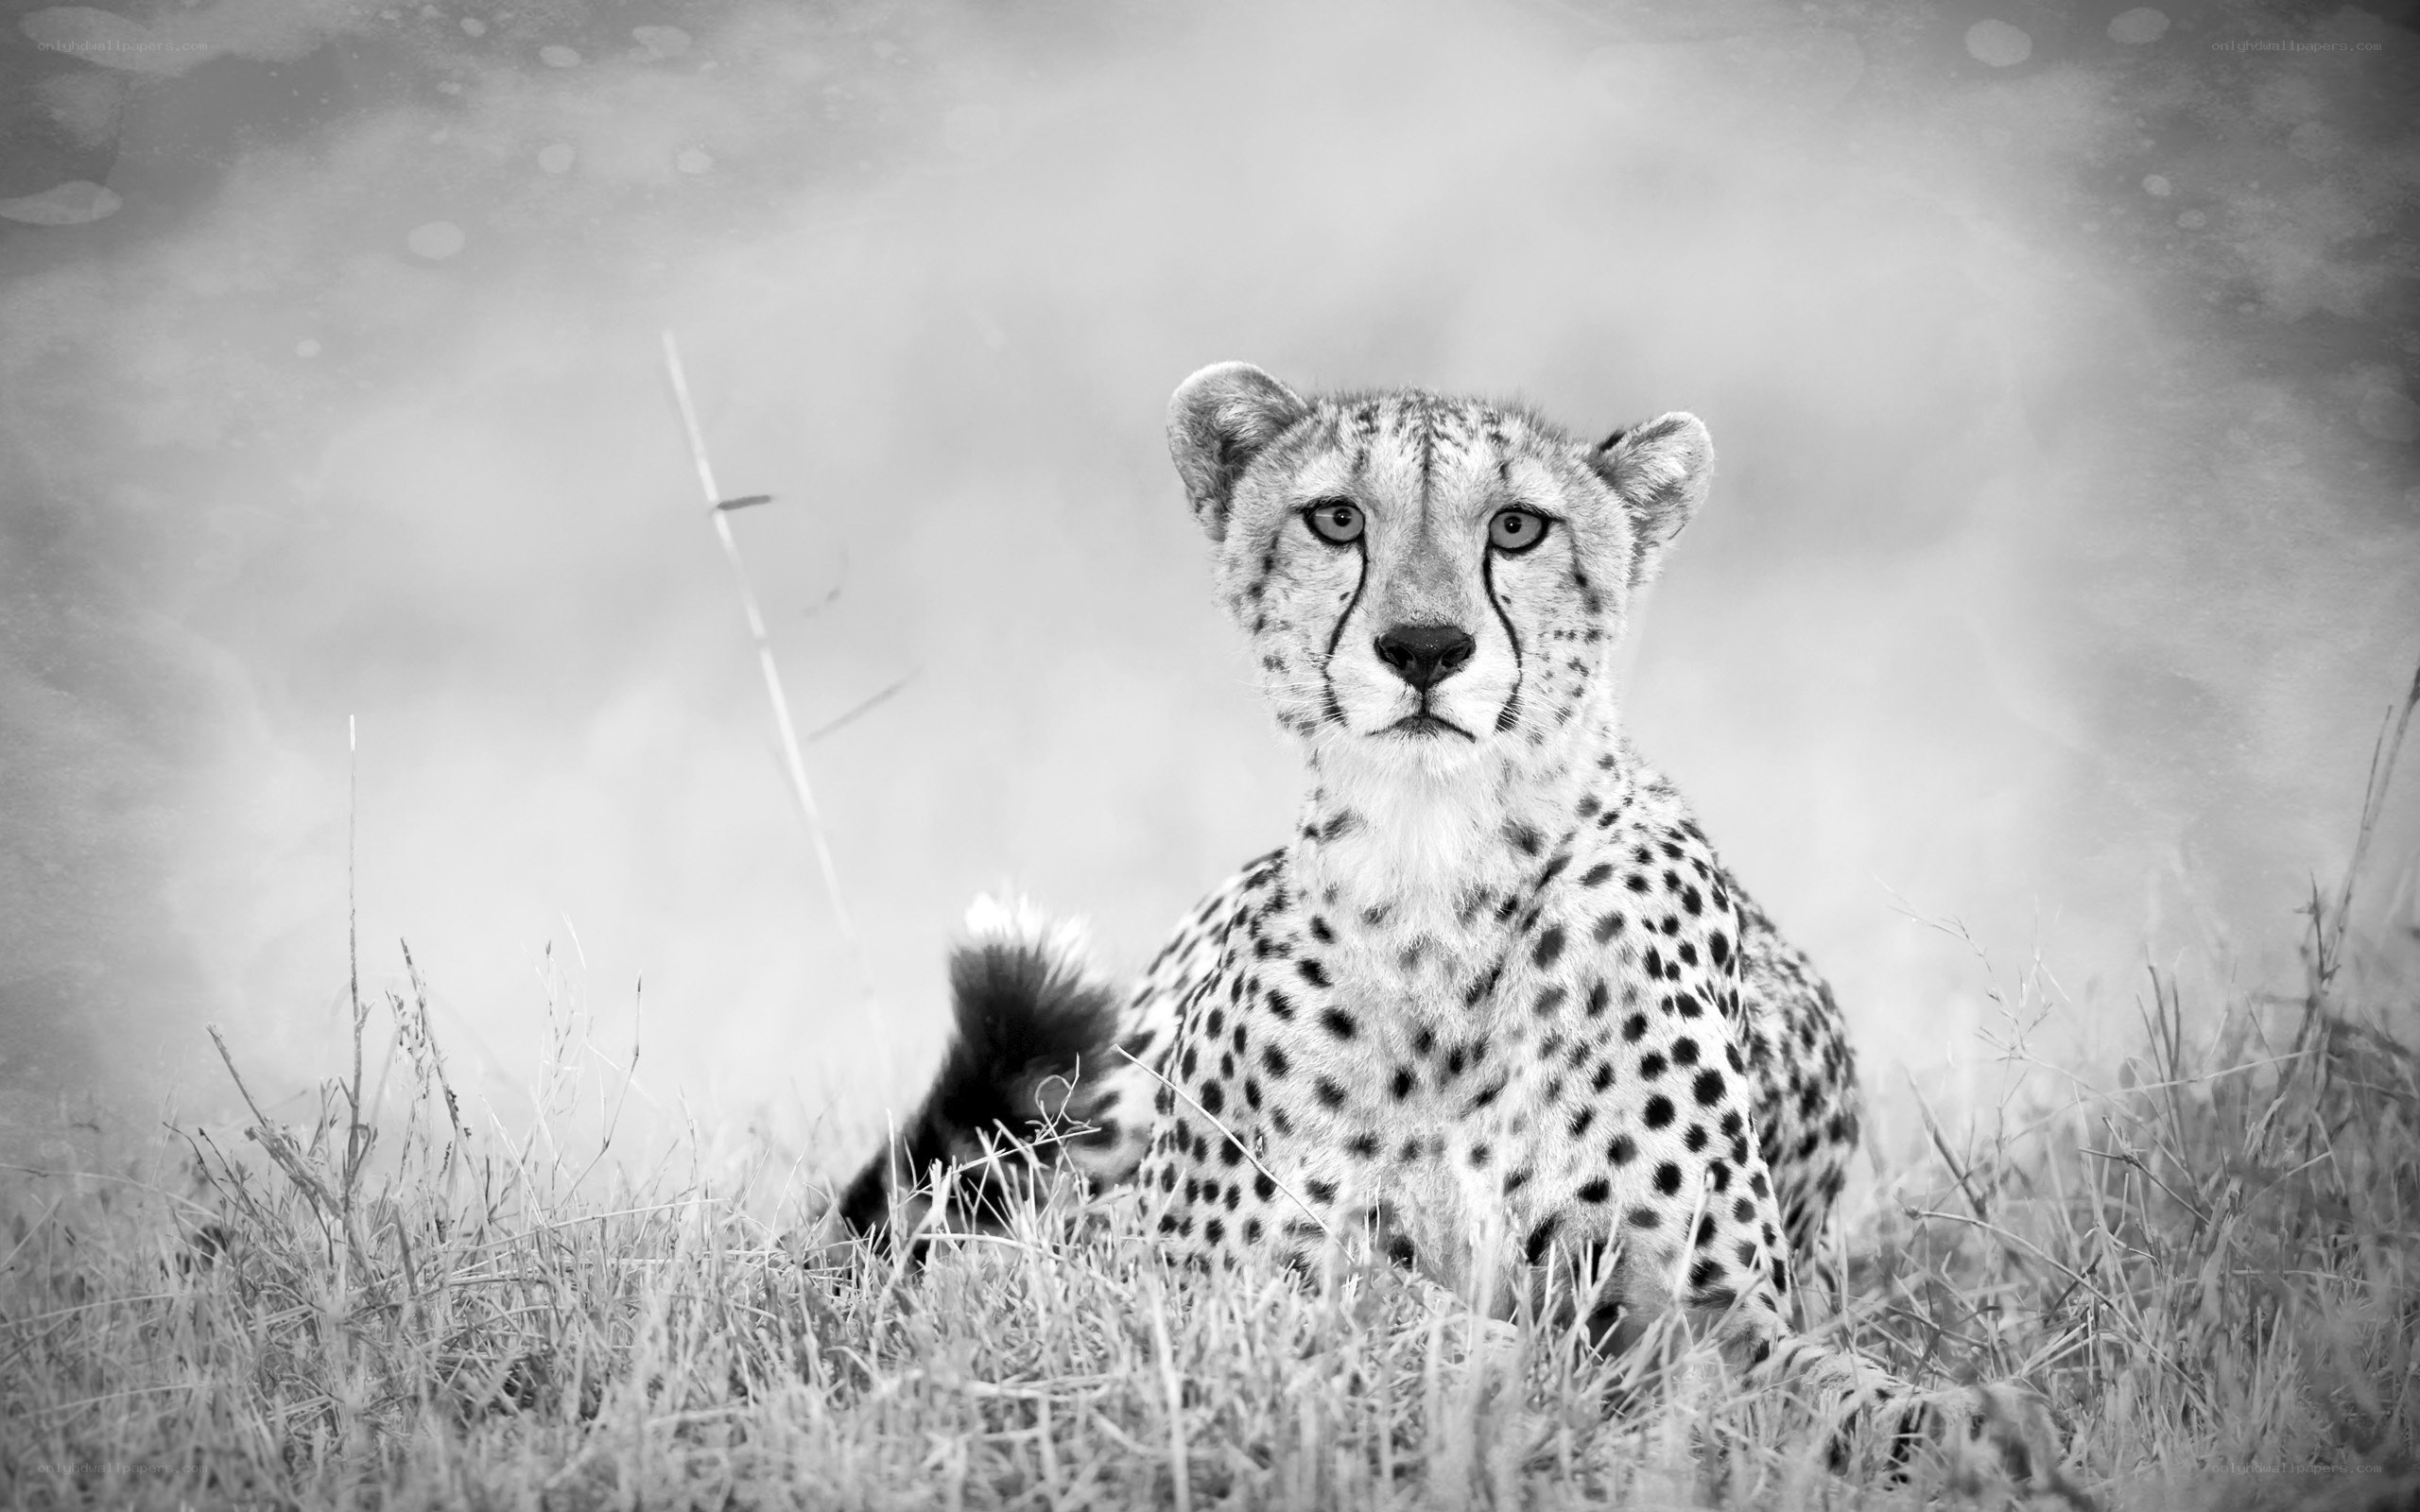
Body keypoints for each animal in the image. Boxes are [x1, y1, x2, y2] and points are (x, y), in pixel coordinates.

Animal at [832, 362, 2084, 1497]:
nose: (1426, 646)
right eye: (1337, 517)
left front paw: (1979, 1432)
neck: (1437, 867)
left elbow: (1833, 1389)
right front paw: (1524, 1383)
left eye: (1517, 527)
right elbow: (1392, 1311)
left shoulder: (1714, 1311)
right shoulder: (1184, 1274)